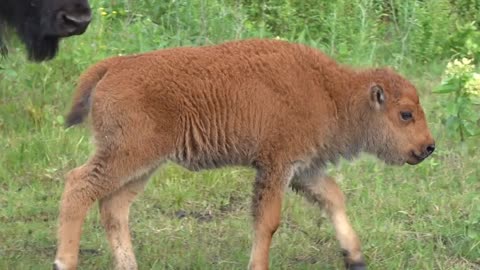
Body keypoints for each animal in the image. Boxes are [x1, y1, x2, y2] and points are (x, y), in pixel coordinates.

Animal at [52, 38, 436, 270]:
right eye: (405, 114)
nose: (428, 147)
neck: (331, 92)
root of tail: (114, 65)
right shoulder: (276, 166)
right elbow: (268, 221)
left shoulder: (303, 170)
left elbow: (333, 198)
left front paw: (355, 257)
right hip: (127, 155)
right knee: (79, 186)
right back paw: (65, 261)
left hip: (143, 165)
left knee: (114, 207)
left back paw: (128, 265)